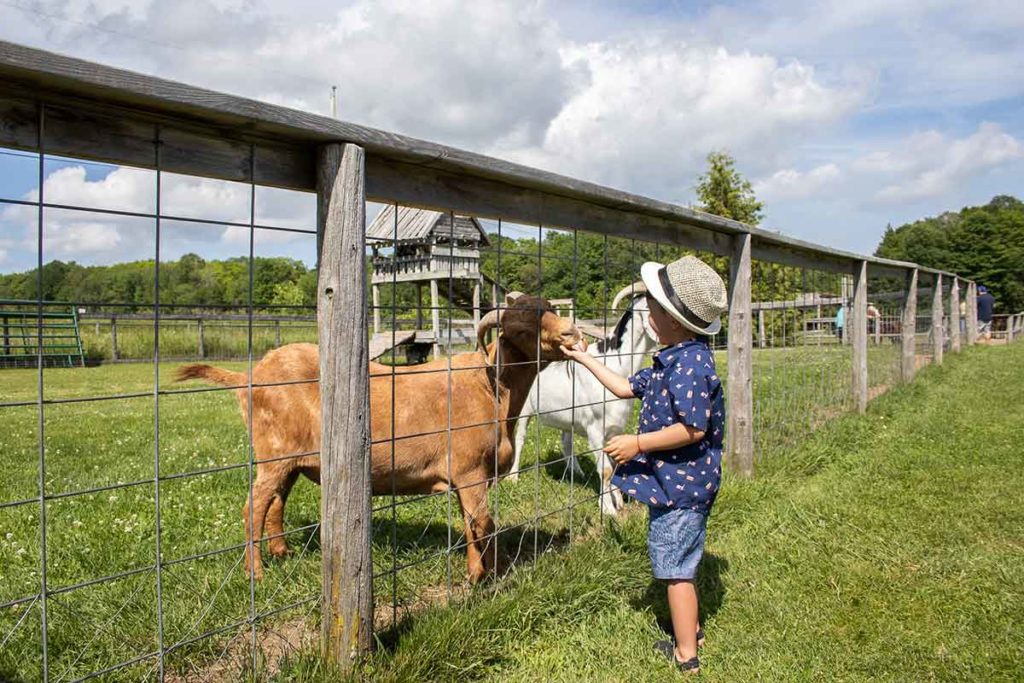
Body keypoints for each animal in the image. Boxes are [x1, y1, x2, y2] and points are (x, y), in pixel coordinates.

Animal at [172, 294, 581, 581]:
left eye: (550, 310)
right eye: (521, 330)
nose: (571, 334)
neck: (490, 384)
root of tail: (248, 376)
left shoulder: (471, 475)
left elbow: (471, 525)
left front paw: (478, 573)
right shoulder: (469, 469)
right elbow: (484, 525)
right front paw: (488, 577)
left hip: (290, 460)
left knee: (275, 504)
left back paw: (282, 554)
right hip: (273, 453)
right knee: (253, 507)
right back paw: (255, 571)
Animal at [507, 282, 659, 511]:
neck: (615, 364)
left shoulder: (615, 428)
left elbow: (614, 464)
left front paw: (618, 502)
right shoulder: (595, 428)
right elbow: (605, 470)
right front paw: (608, 509)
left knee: (566, 441)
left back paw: (575, 472)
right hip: (524, 409)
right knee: (520, 437)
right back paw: (513, 477)